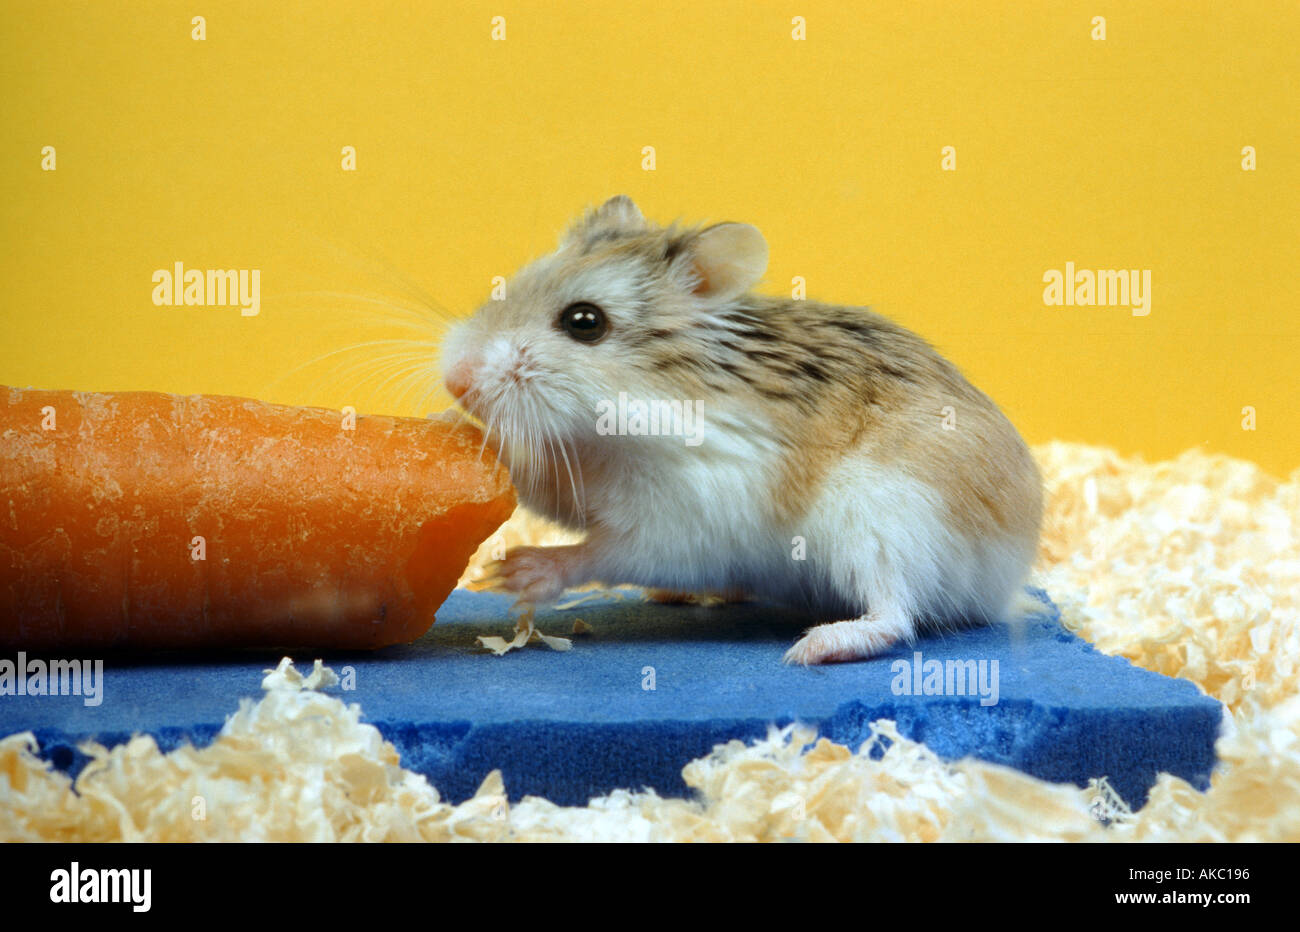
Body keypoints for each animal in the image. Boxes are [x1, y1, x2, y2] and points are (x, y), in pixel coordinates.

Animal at [441, 196, 1040, 662]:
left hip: (884, 528)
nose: (456, 381)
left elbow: (601, 553)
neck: (609, 432)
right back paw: (679, 599)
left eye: (584, 322)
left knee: (895, 615)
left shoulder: (679, 519)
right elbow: (540, 489)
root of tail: (1009, 572)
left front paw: (512, 573)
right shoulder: (577, 480)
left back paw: (814, 648)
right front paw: (464, 438)